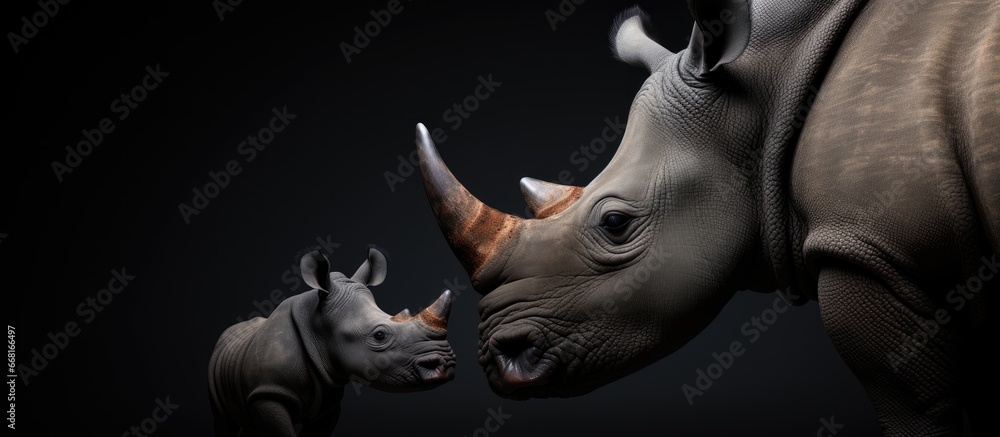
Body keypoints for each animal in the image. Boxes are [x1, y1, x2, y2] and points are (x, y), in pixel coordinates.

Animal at [208, 248, 456, 436]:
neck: (315, 324)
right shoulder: (267, 393)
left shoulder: (329, 399)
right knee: (223, 419)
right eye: (379, 336)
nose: (445, 366)